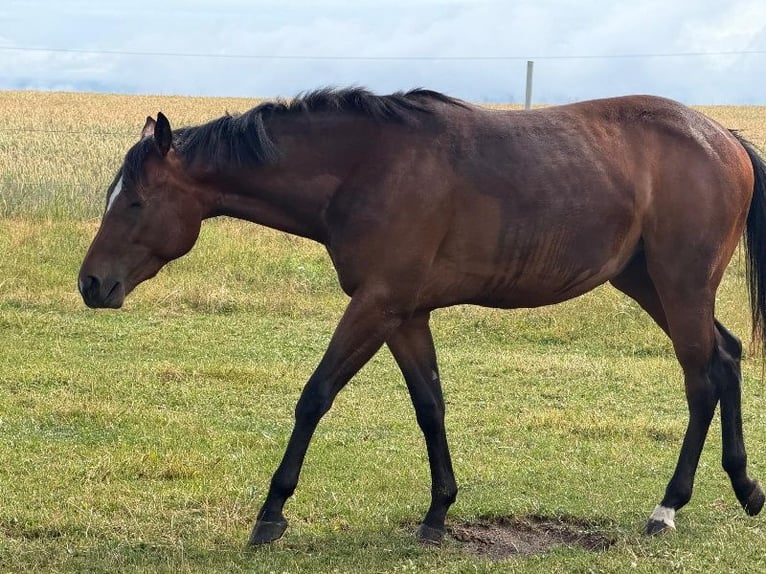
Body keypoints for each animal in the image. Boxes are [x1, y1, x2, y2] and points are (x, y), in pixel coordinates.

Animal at [78, 87, 766, 545]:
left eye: (135, 201)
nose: (91, 283)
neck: (365, 166)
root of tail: (724, 138)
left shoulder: (375, 305)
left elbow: (315, 395)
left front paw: (271, 512)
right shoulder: (405, 315)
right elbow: (429, 405)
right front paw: (439, 512)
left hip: (680, 286)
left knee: (701, 378)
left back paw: (668, 507)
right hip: (651, 284)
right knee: (725, 360)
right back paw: (744, 489)